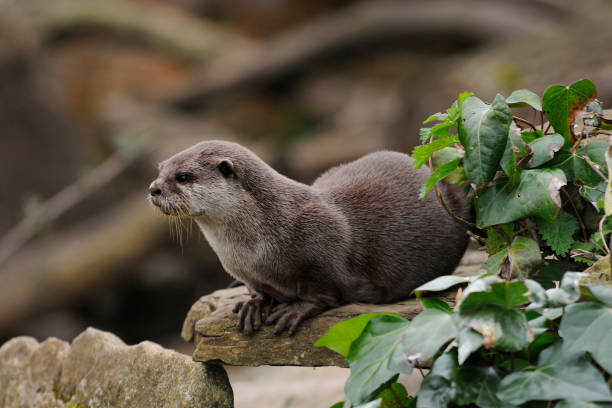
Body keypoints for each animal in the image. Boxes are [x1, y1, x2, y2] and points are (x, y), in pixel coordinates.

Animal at [147, 140, 468, 334]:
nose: (153, 188)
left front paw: (294, 310)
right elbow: (258, 290)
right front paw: (254, 305)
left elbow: (324, 291)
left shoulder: (321, 248)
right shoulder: (244, 271)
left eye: (183, 177)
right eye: (160, 170)